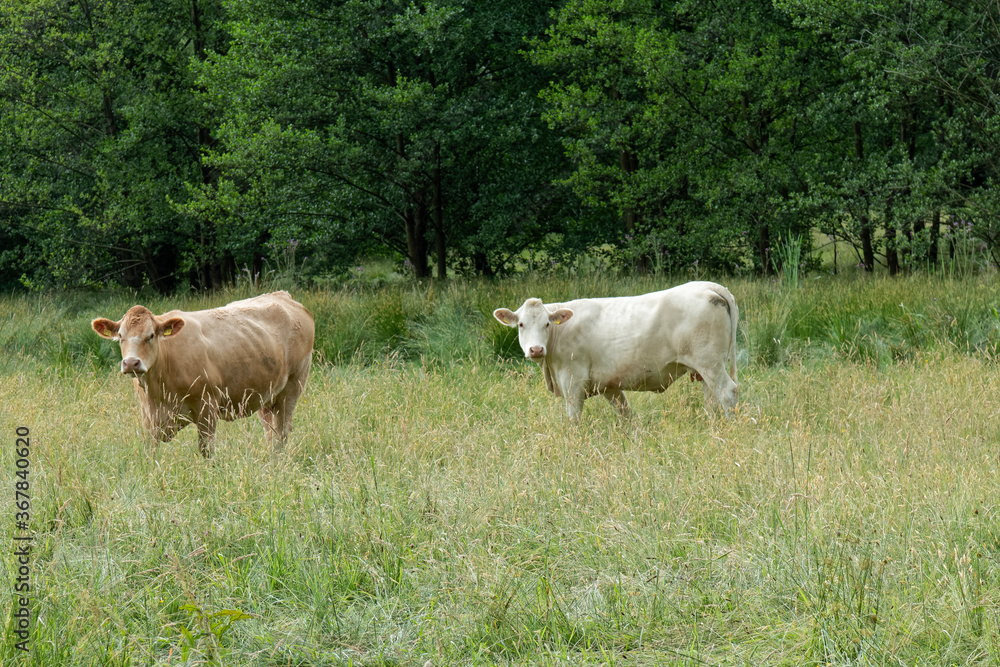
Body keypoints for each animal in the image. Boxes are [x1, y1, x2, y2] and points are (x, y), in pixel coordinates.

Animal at [93, 292, 314, 460]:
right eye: (121, 337)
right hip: (265, 395)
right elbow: (150, 450)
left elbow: (206, 450)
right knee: (270, 431)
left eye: (151, 336)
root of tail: (282, 296)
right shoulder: (148, 415)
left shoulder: (207, 407)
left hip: (292, 387)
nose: (131, 363)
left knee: (282, 431)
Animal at [496, 284, 740, 420]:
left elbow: (574, 419)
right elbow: (625, 413)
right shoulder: (609, 385)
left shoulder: (573, 382)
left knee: (727, 392)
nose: (536, 349)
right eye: (521, 325)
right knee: (712, 399)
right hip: (705, 369)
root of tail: (708, 286)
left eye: (547, 324)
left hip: (710, 363)